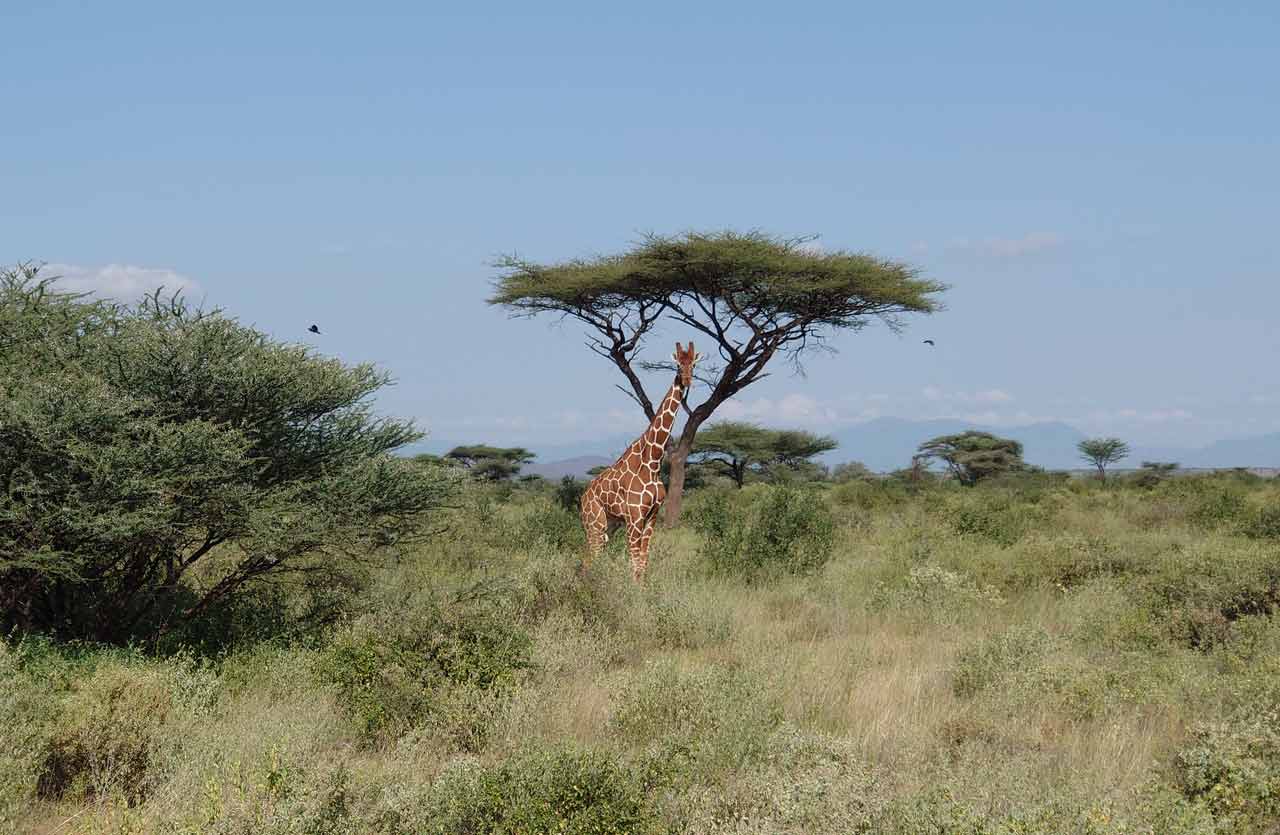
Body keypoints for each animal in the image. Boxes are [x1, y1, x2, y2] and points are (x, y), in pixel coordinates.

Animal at [579, 341, 701, 582]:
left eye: (692, 364)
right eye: (678, 365)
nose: (687, 381)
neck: (652, 462)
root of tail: (583, 497)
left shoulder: (651, 516)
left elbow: (643, 561)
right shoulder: (634, 517)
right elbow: (634, 562)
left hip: (610, 525)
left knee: (591, 559)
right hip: (595, 524)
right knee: (589, 558)